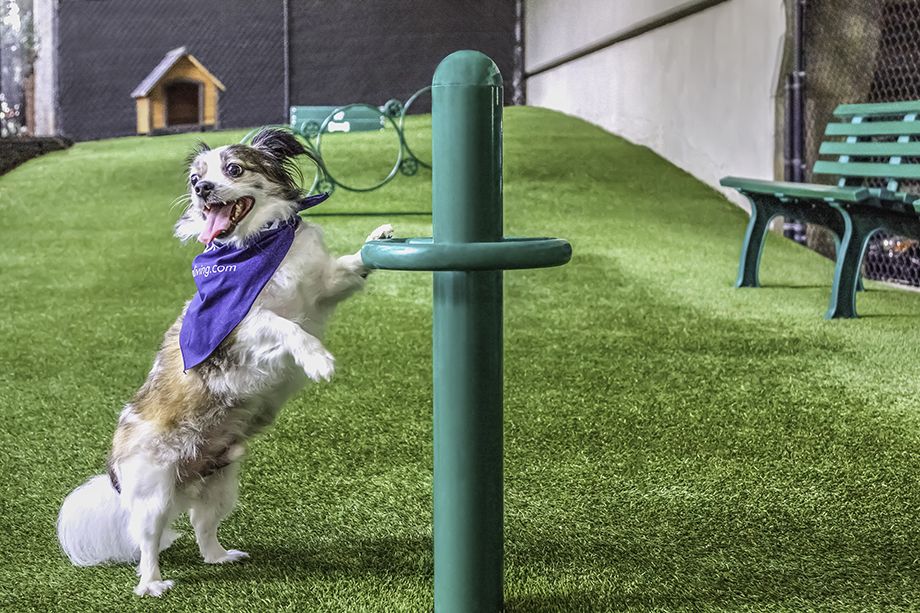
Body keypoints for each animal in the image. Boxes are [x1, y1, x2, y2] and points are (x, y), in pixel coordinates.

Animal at [54, 128, 392, 592]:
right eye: (196, 178)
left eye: (234, 169)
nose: (202, 190)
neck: (255, 245)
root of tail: (116, 476)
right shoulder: (241, 324)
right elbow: (287, 327)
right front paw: (318, 359)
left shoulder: (322, 288)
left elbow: (348, 267)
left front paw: (379, 237)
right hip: (153, 495)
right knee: (147, 542)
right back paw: (153, 585)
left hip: (220, 486)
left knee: (202, 528)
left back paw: (219, 557)